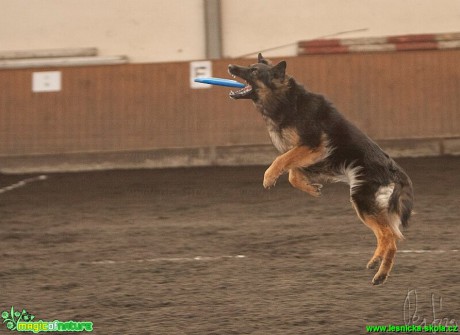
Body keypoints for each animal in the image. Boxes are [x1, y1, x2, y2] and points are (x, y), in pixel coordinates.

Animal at [229, 53, 414, 284]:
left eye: (253, 70)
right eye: (249, 66)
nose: (230, 66)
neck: (286, 101)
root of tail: (395, 171)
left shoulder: (312, 146)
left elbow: (280, 161)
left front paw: (269, 177)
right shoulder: (305, 153)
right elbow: (291, 172)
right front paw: (310, 187)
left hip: (362, 200)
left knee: (390, 237)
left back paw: (381, 274)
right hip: (370, 205)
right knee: (388, 236)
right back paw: (375, 261)